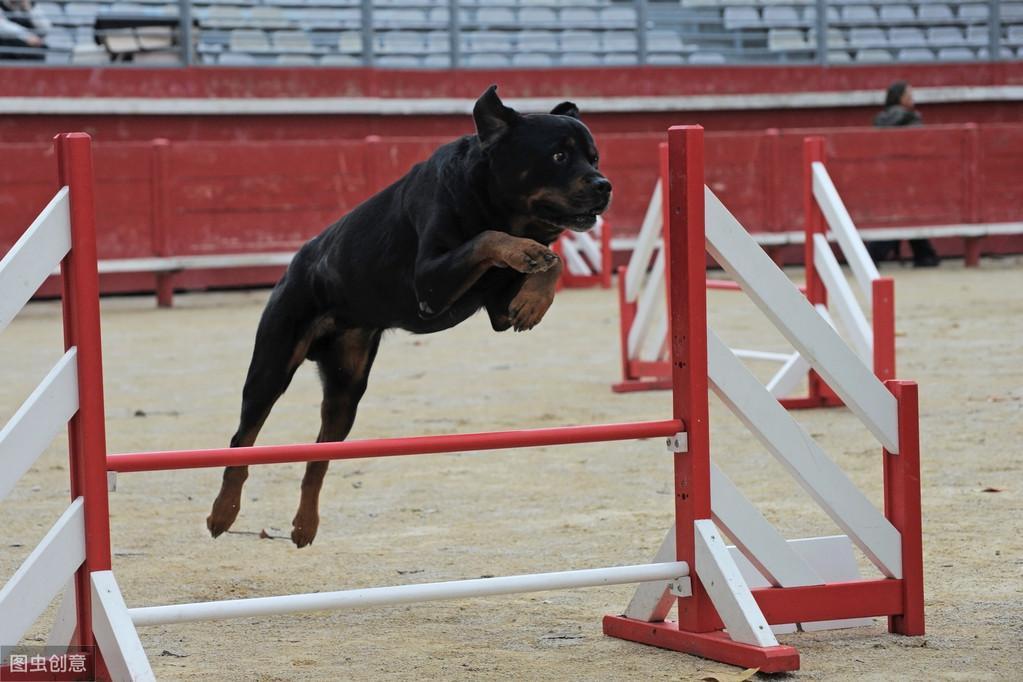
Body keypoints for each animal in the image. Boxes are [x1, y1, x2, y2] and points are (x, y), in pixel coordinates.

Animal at [203, 82, 609, 548]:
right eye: (558, 156)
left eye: (594, 157)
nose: (605, 185)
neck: (494, 200)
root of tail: (295, 266)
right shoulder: (429, 283)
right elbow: (488, 238)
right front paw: (525, 251)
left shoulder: (495, 310)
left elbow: (550, 261)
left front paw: (534, 297)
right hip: (273, 363)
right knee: (243, 439)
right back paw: (223, 513)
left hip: (346, 386)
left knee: (320, 455)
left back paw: (305, 524)